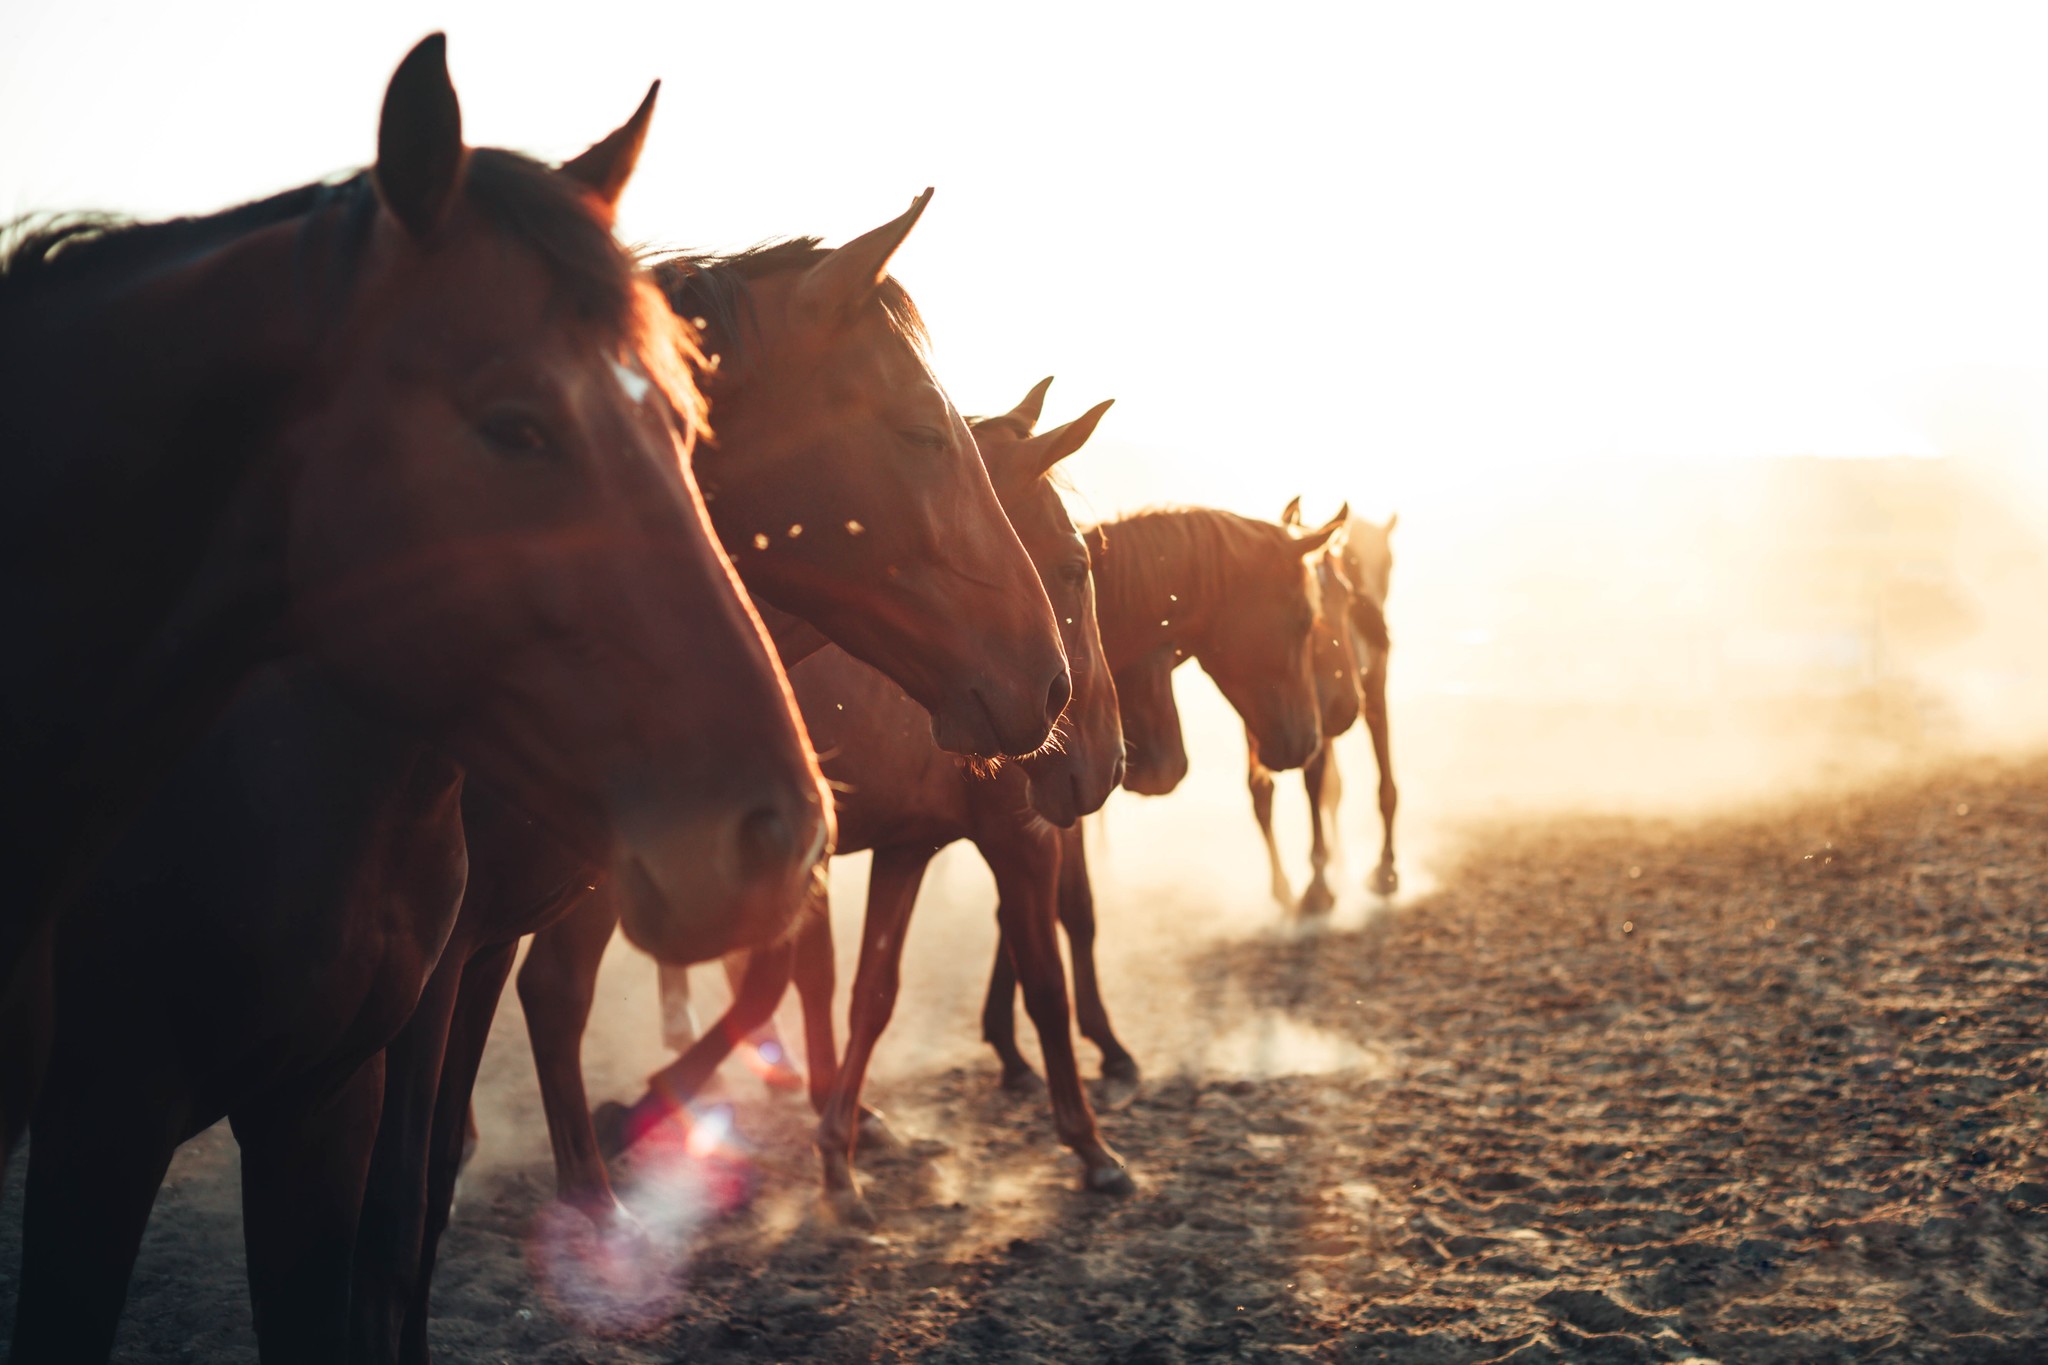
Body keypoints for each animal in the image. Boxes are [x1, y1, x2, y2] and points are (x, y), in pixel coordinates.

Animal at [512, 382, 1122, 1227]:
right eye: (1075, 566)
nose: (1107, 761)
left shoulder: (904, 846)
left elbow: (867, 990)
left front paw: (840, 1139)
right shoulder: (1013, 840)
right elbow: (1045, 986)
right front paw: (1090, 1145)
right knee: (554, 992)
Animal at [974, 505, 1343, 1096]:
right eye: (1304, 620)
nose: (1308, 741)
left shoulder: (1034, 812)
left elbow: (1027, 914)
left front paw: (1009, 1046)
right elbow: (1069, 910)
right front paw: (1102, 1044)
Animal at [1236, 499, 1400, 908]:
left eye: (1389, 562)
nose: (1344, 702)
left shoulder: (1369, 698)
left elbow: (1371, 786)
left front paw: (1329, 879)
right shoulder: (1259, 727)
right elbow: (1264, 793)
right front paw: (1284, 884)